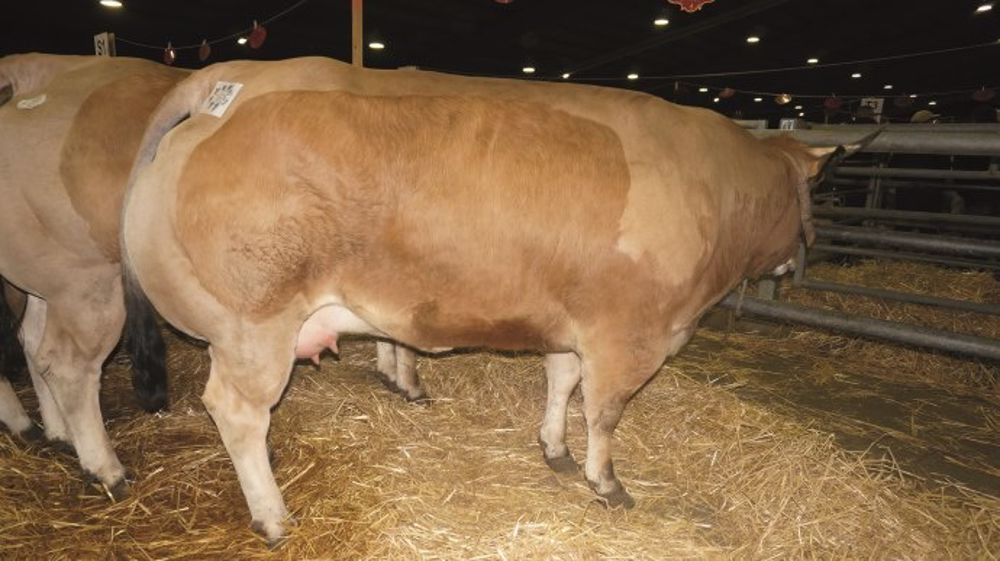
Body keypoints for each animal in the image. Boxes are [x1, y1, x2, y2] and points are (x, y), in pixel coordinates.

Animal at [0, 54, 187, 497]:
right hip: (88, 285)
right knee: (66, 365)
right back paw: (105, 469)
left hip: (47, 284)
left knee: (33, 343)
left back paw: (57, 433)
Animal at [122, 56, 841, 542]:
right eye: (810, 192)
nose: (800, 255)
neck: (711, 185)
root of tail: (235, 77)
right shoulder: (628, 333)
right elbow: (604, 411)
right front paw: (606, 482)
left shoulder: (572, 316)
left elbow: (562, 380)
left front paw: (553, 448)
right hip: (254, 323)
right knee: (237, 411)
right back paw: (272, 515)